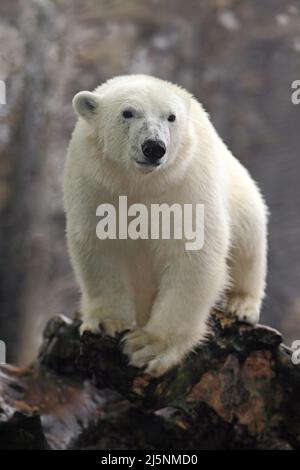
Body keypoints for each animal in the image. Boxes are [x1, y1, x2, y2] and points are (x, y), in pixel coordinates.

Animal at [63, 77, 268, 378]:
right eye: (128, 112)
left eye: (171, 117)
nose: (153, 147)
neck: (140, 184)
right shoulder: (95, 185)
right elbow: (100, 249)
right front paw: (106, 323)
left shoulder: (186, 184)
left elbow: (192, 255)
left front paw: (148, 347)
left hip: (242, 197)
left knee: (248, 244)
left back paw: (240, 304)